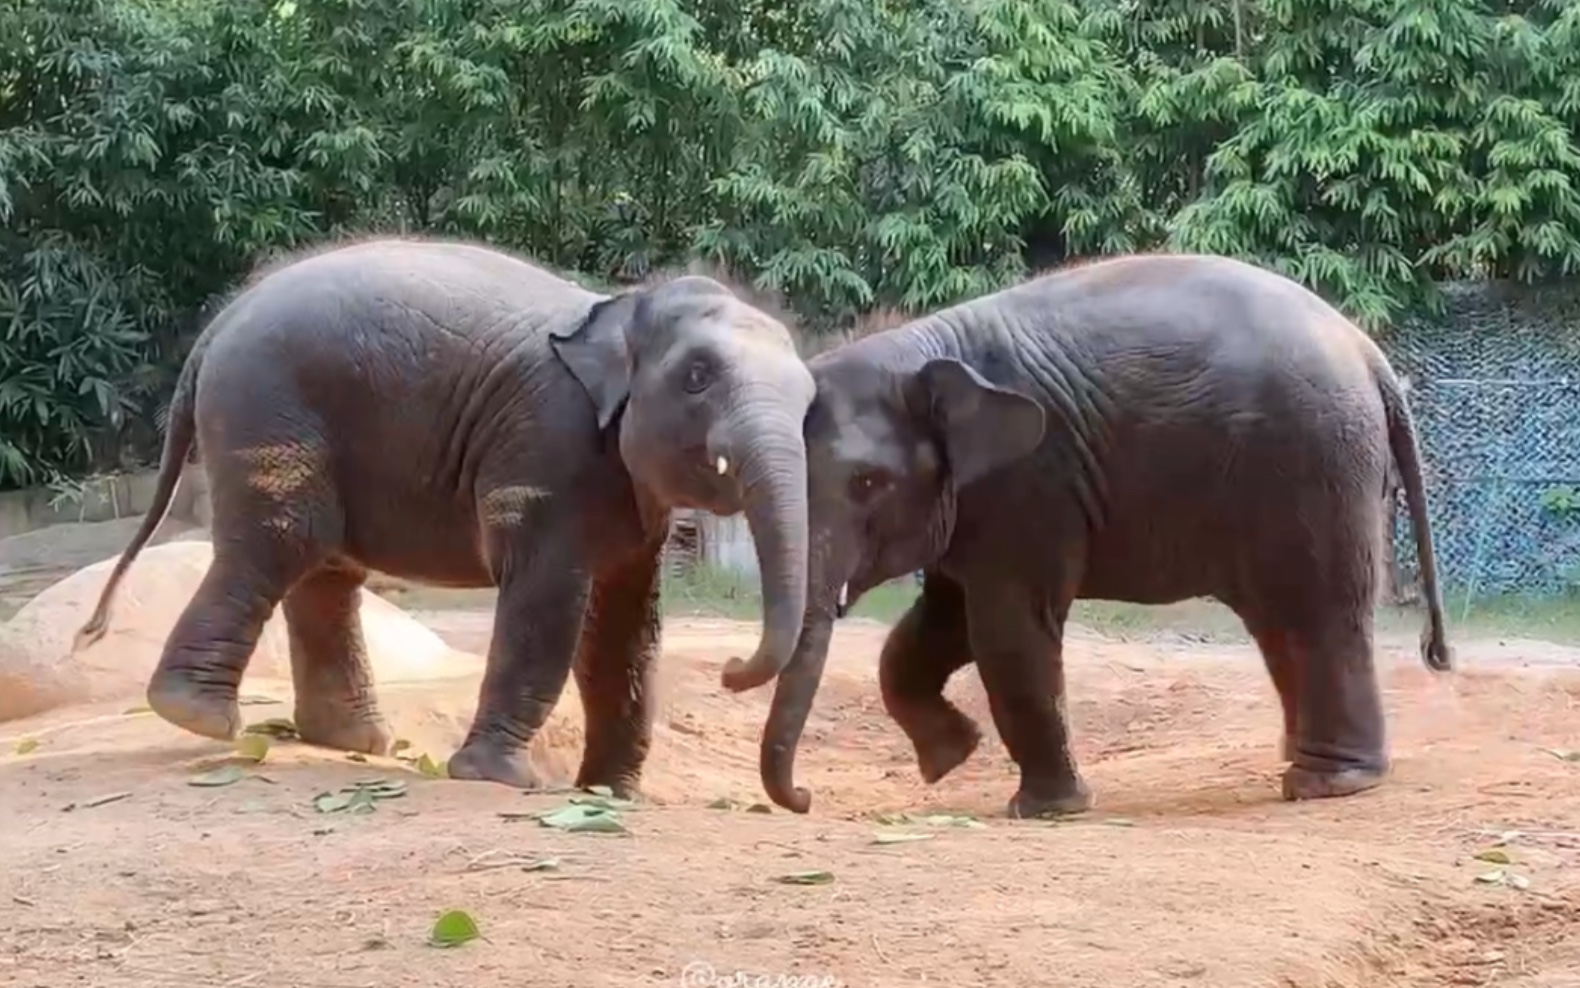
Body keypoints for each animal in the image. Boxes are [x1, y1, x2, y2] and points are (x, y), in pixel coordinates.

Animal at [72, 237, 815, 793]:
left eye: (810, 397)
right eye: (697, 377)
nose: (730, 667)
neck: (620, 308)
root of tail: (221, 323)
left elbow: (625, 629)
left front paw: (609, 795)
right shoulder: (548, 446)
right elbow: (549, 600)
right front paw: (498, 779)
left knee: (323, 570)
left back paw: (350, 741)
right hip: (267, 406)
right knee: (280, 545)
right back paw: (197, 718)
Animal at [723, 252, 1447, 815]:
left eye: (868, 483)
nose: (805, 798)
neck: (923, 348)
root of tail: (1371, 356)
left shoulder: (1030, 484)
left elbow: (1007, 628)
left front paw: (1047, 809)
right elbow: (941, 624)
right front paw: (951, 758)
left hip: (1314, 464)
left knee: (1315, 612)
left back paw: (1328, 785)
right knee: (1285, 625)